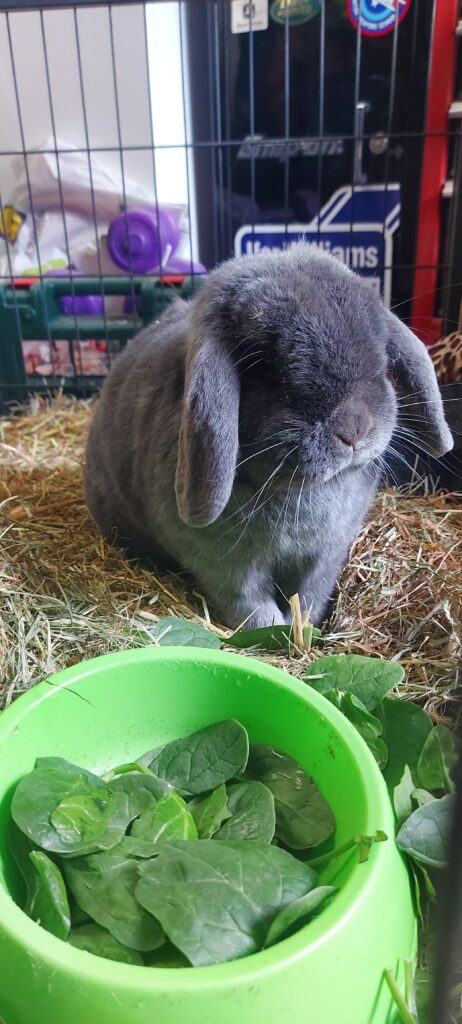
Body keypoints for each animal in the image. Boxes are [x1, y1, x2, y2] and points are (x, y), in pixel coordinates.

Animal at [84, 244, 453, 630]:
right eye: (267, 368)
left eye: (382, 359)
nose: (354, 429)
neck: (299, 490)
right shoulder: (226, 565)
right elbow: (250, 603)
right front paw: (275, 632)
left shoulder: (326, 555)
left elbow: (310, 593)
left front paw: (305, 627)